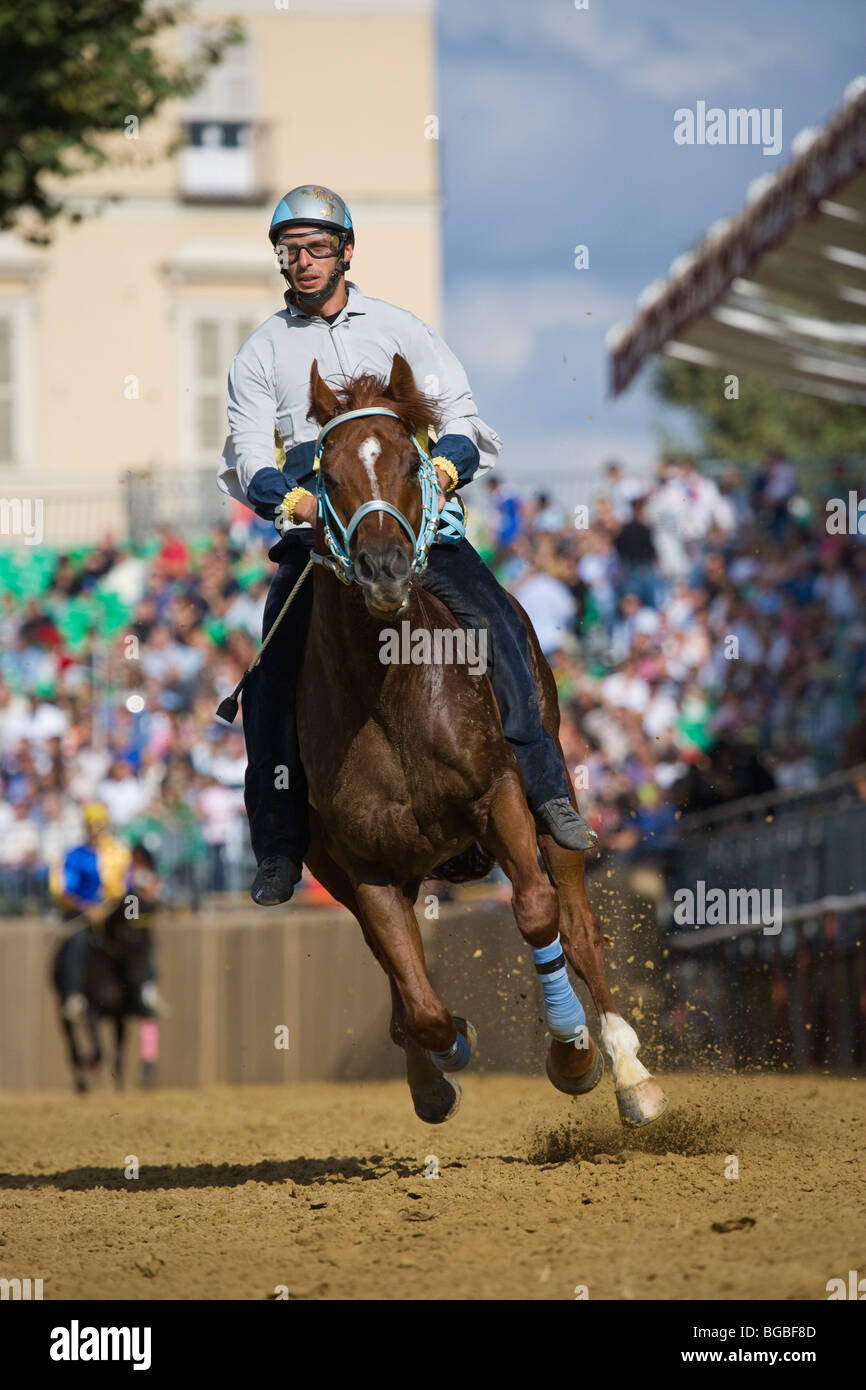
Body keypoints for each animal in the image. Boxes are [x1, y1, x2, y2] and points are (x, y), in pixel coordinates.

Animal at [52, 911, 159, 1094]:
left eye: (150, 936)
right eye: (129, 935)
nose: (140, 974)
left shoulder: (120, 1015)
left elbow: (118, 1052)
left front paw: (120, 1087)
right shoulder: (91, 1010)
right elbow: (99, 1049)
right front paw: (90, 1064)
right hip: (63, 1008)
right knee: (72, 1043)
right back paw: (82, 1080)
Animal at [294, 353, 668, 1126]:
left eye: (412, 460)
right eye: (327, 474)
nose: (383, 567)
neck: (387, 697)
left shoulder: (497, 795)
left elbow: (535, 911)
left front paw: (573, 1054)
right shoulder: (362, 861)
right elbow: (415, 990)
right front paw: (444, 1054)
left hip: (552, 795)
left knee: (577, 924)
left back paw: (629, 1072)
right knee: (397, 971)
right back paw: (428, 1073)